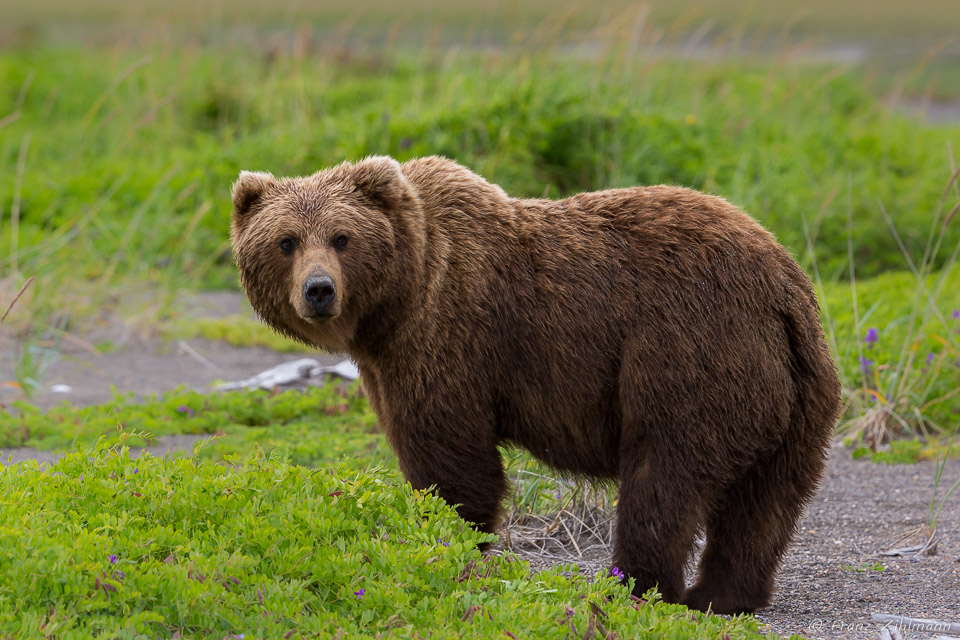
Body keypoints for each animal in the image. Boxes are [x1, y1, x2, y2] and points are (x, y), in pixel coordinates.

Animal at [231, 155, 840, 616]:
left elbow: (451, 457)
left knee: (663, 477)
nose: (318, 290)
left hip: (686, 353)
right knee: (764, 501)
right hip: (799, 389)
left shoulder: (452, 333)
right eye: (286, 241)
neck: (399, 297)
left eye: (341, 237)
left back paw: (634, 586)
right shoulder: (388, 357)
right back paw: (722, 595)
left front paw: (451, 542)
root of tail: (780, 287)